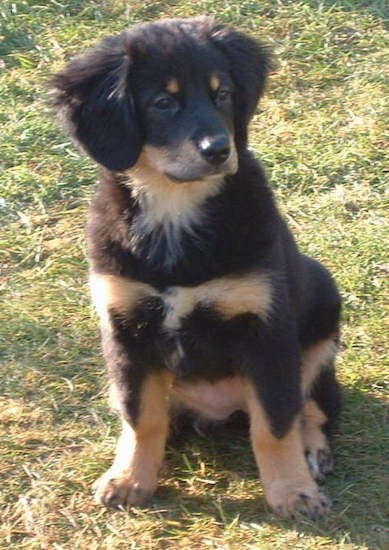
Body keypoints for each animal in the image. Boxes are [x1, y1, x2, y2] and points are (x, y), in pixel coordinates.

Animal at [51, 15, 340, 520]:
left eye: (221, 94)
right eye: (163, 103)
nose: (219, 150)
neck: (174, 208)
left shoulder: (266, 333)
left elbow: (274, 423)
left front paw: (291, 492)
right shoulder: (126, 328)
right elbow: (142, 418)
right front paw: (131, 478)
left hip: (322, 311)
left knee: (311, 404)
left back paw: (312, 450)